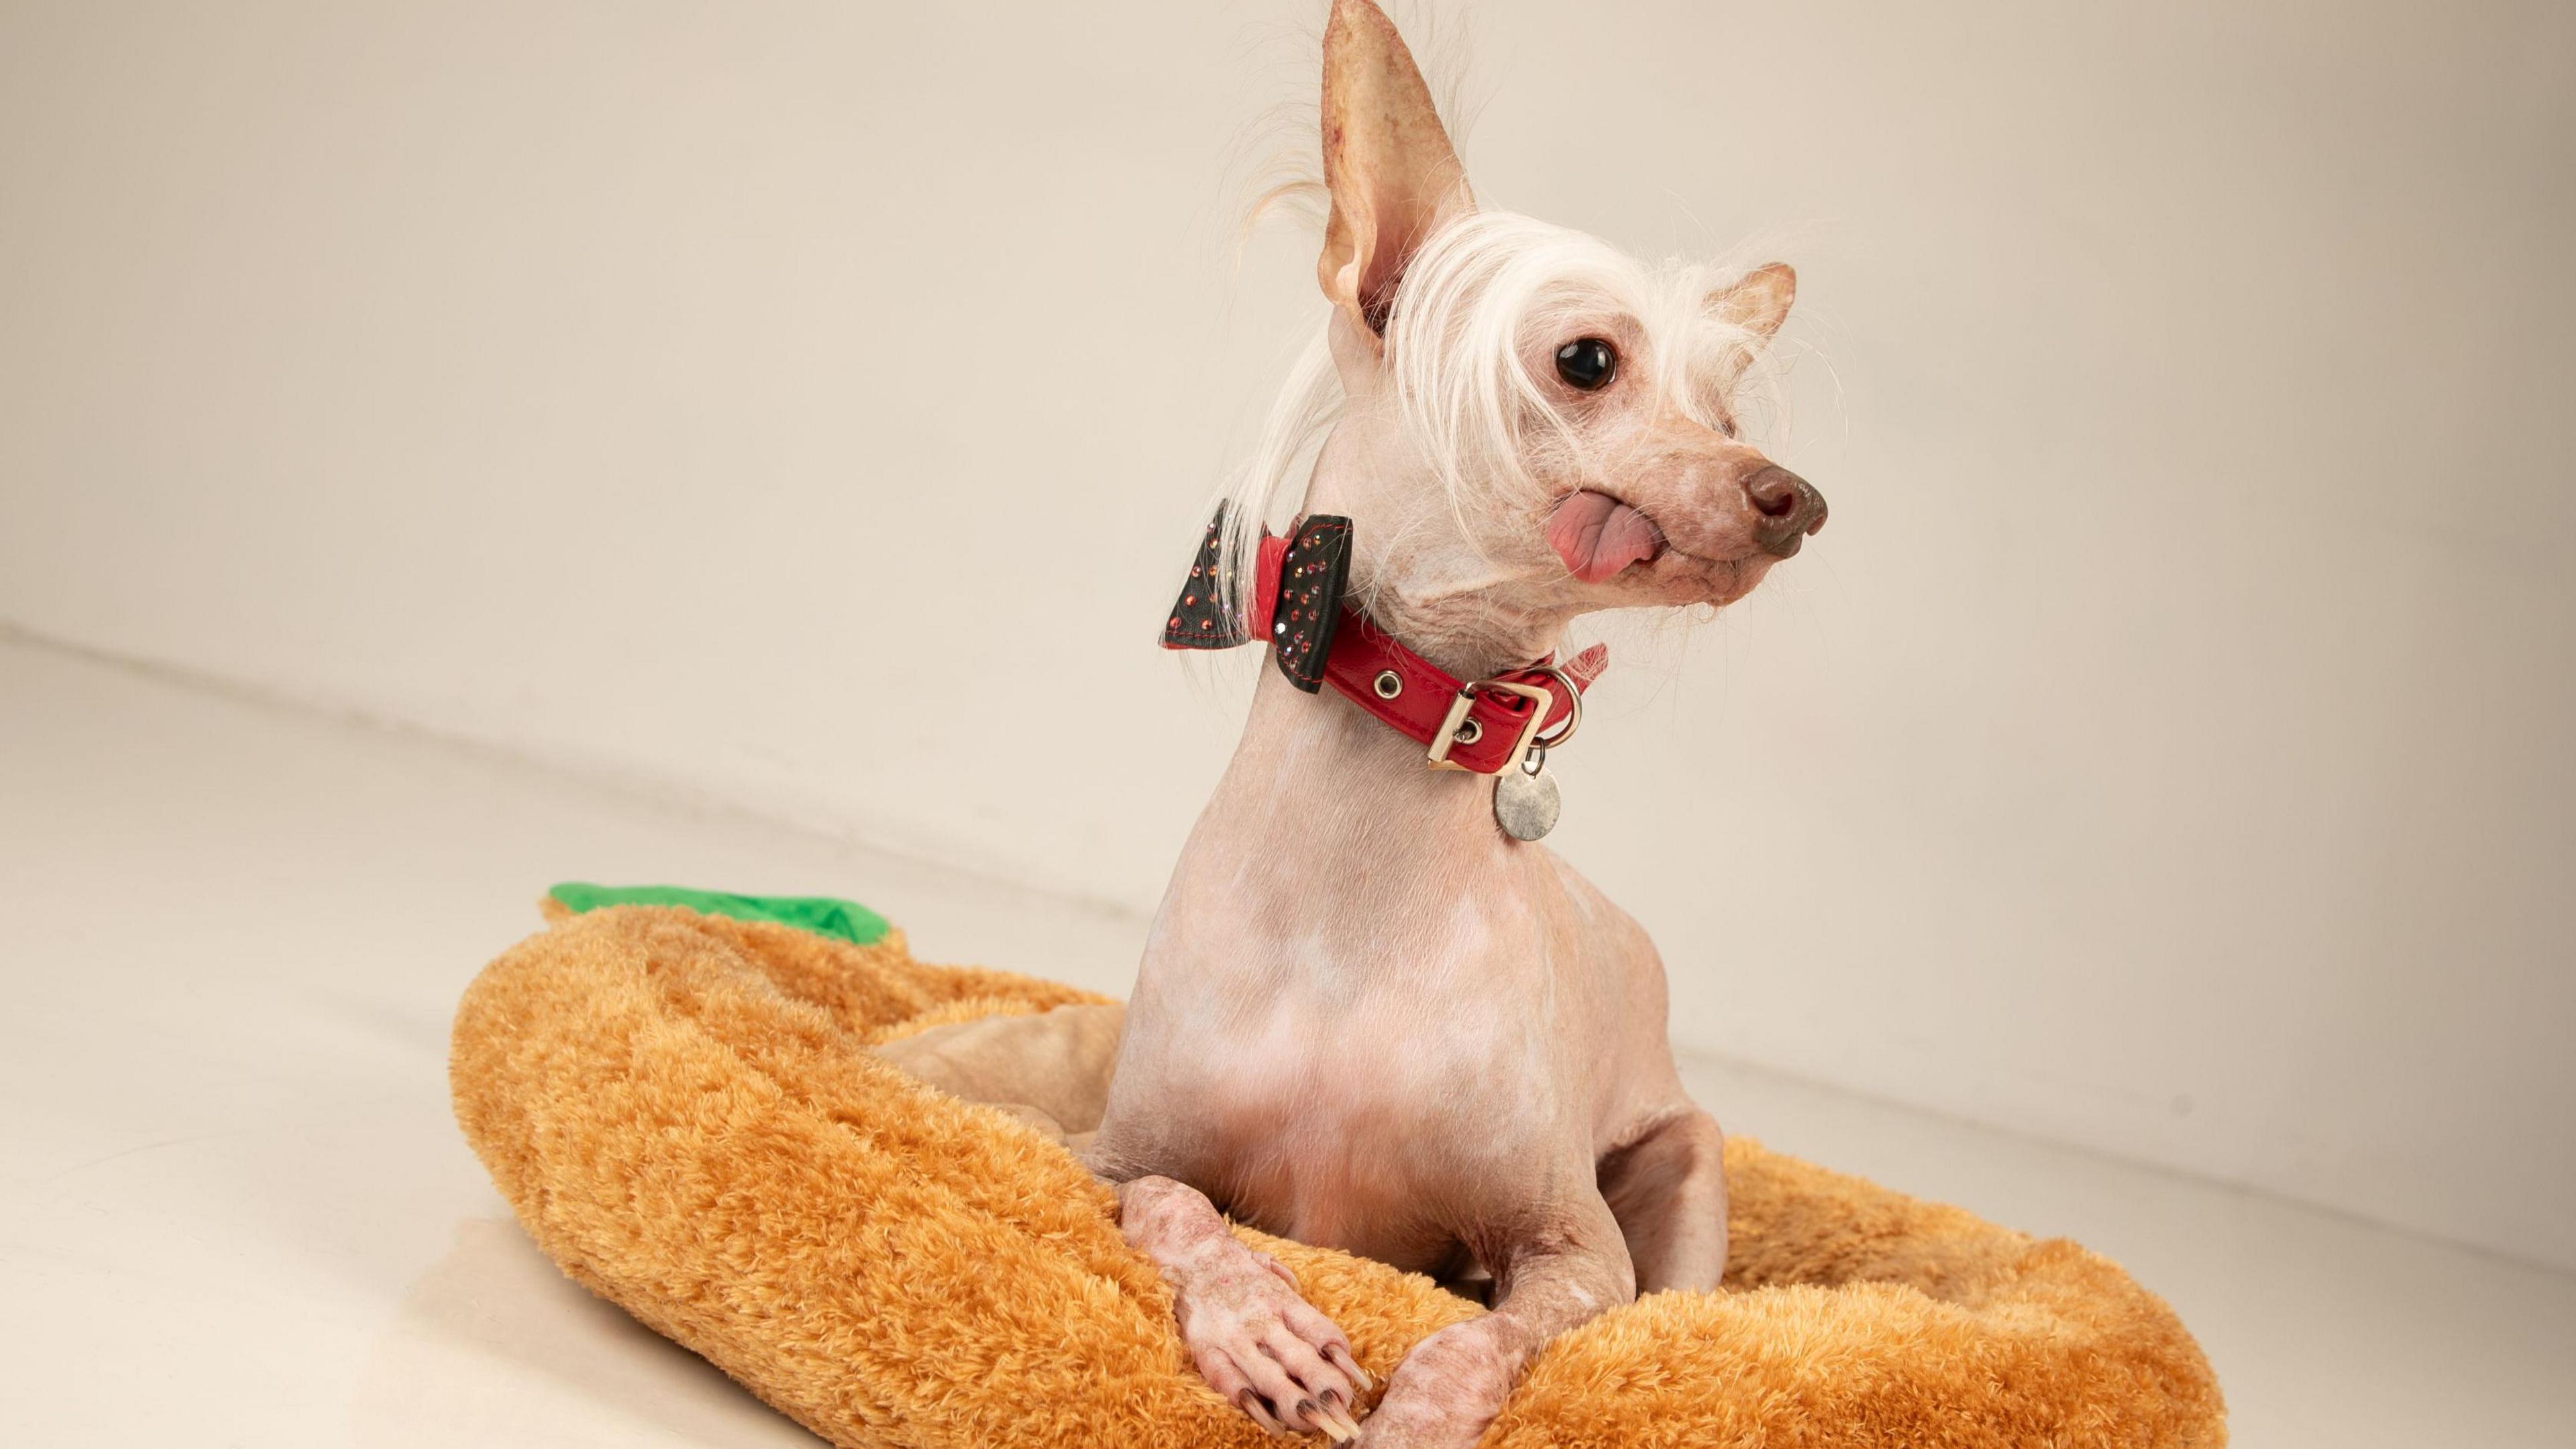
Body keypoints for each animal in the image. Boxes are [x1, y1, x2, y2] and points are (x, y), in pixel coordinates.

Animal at [875, 5, 1823, 1433]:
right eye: (1585, 362)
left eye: (1725, 414)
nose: (1796, 499)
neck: (1355, 903)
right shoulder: (1102, 1157)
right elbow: (1176, 1208)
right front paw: (1266, 1333)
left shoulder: (1571, 1252)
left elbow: (1473, 1340)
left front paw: (1413, 1414)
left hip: (1686, 1173)